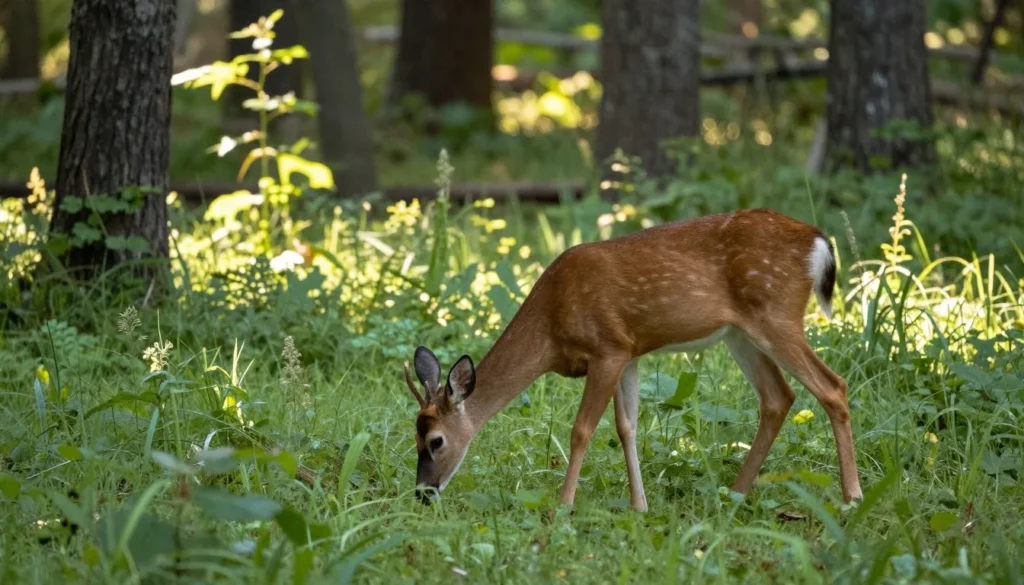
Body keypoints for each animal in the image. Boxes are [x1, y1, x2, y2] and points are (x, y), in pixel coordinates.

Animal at [402, 208, 863, 512]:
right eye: (415, 437)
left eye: (436, 441)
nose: (423, 493)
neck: (551, 327)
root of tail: (819, 242)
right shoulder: (630, 352)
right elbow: (627, 427)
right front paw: (639, 506)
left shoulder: (607, 348)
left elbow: (582, 430)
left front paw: (563, 507)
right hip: (741, 333)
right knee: (777, 397)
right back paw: (735, 493)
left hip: (775, 313)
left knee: (832, 386)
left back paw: (852, 497)